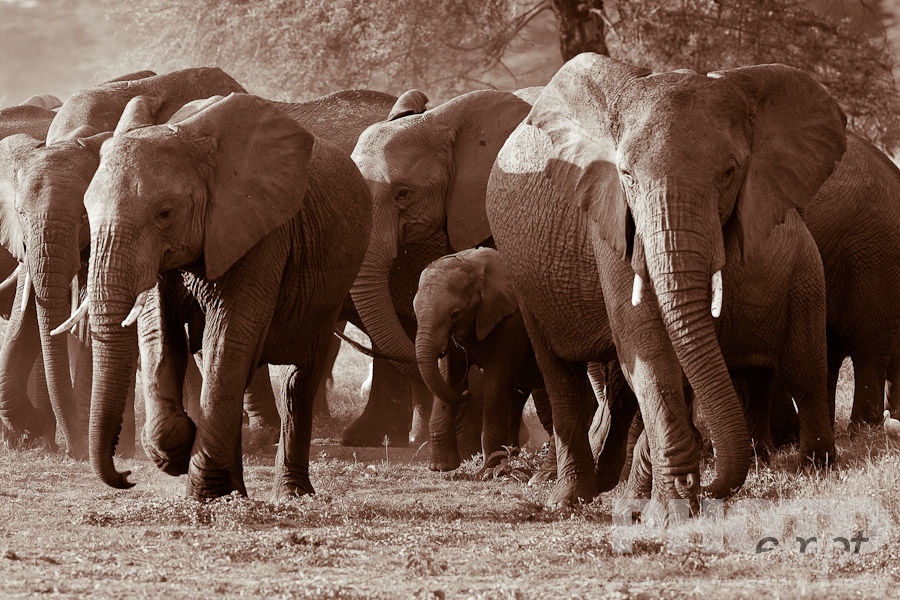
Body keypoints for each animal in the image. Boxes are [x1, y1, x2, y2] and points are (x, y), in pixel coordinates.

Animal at [83, 92, 371, 499]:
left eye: (164, 213)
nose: (125, 477)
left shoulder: (262, 233)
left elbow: (228, 336)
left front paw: (200, 489)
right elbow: (159, 333)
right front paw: (178, 449)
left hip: (331, 290)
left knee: (296, 381)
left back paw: (291, 494)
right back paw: (235, 491)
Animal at [412, 247, 552, 471]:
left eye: (454, 314)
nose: (467, 391)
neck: (476, 267)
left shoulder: (512, 322)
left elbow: (496, 381)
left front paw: (490, 469)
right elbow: (450, 379)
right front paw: (441, 467)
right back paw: (513, 457)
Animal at [486, 53, 843, 508]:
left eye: (729, 172)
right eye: (626, 175)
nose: (708, 487)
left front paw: (651, 501)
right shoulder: (608, 215)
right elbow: (649, 344)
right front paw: (670, 503)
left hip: (806, 281)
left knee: (805, 368)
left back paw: (817, 468)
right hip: (524, 277)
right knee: (561, 373)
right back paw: (570, 497)